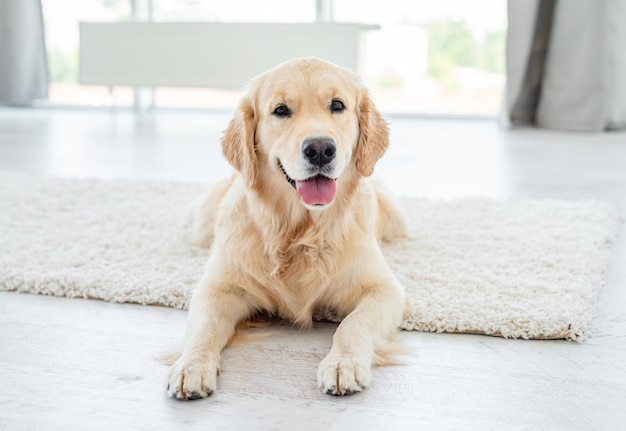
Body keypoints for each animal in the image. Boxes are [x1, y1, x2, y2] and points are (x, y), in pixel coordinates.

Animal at [167, 57, 410, 402]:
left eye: (337, 105)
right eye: (280, 110)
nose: (320, 149)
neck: (299, 230)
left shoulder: (385, 290)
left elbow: (354, 323)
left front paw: (343, 363)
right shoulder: (218, 289)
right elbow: (204, 327)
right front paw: (191, 366)